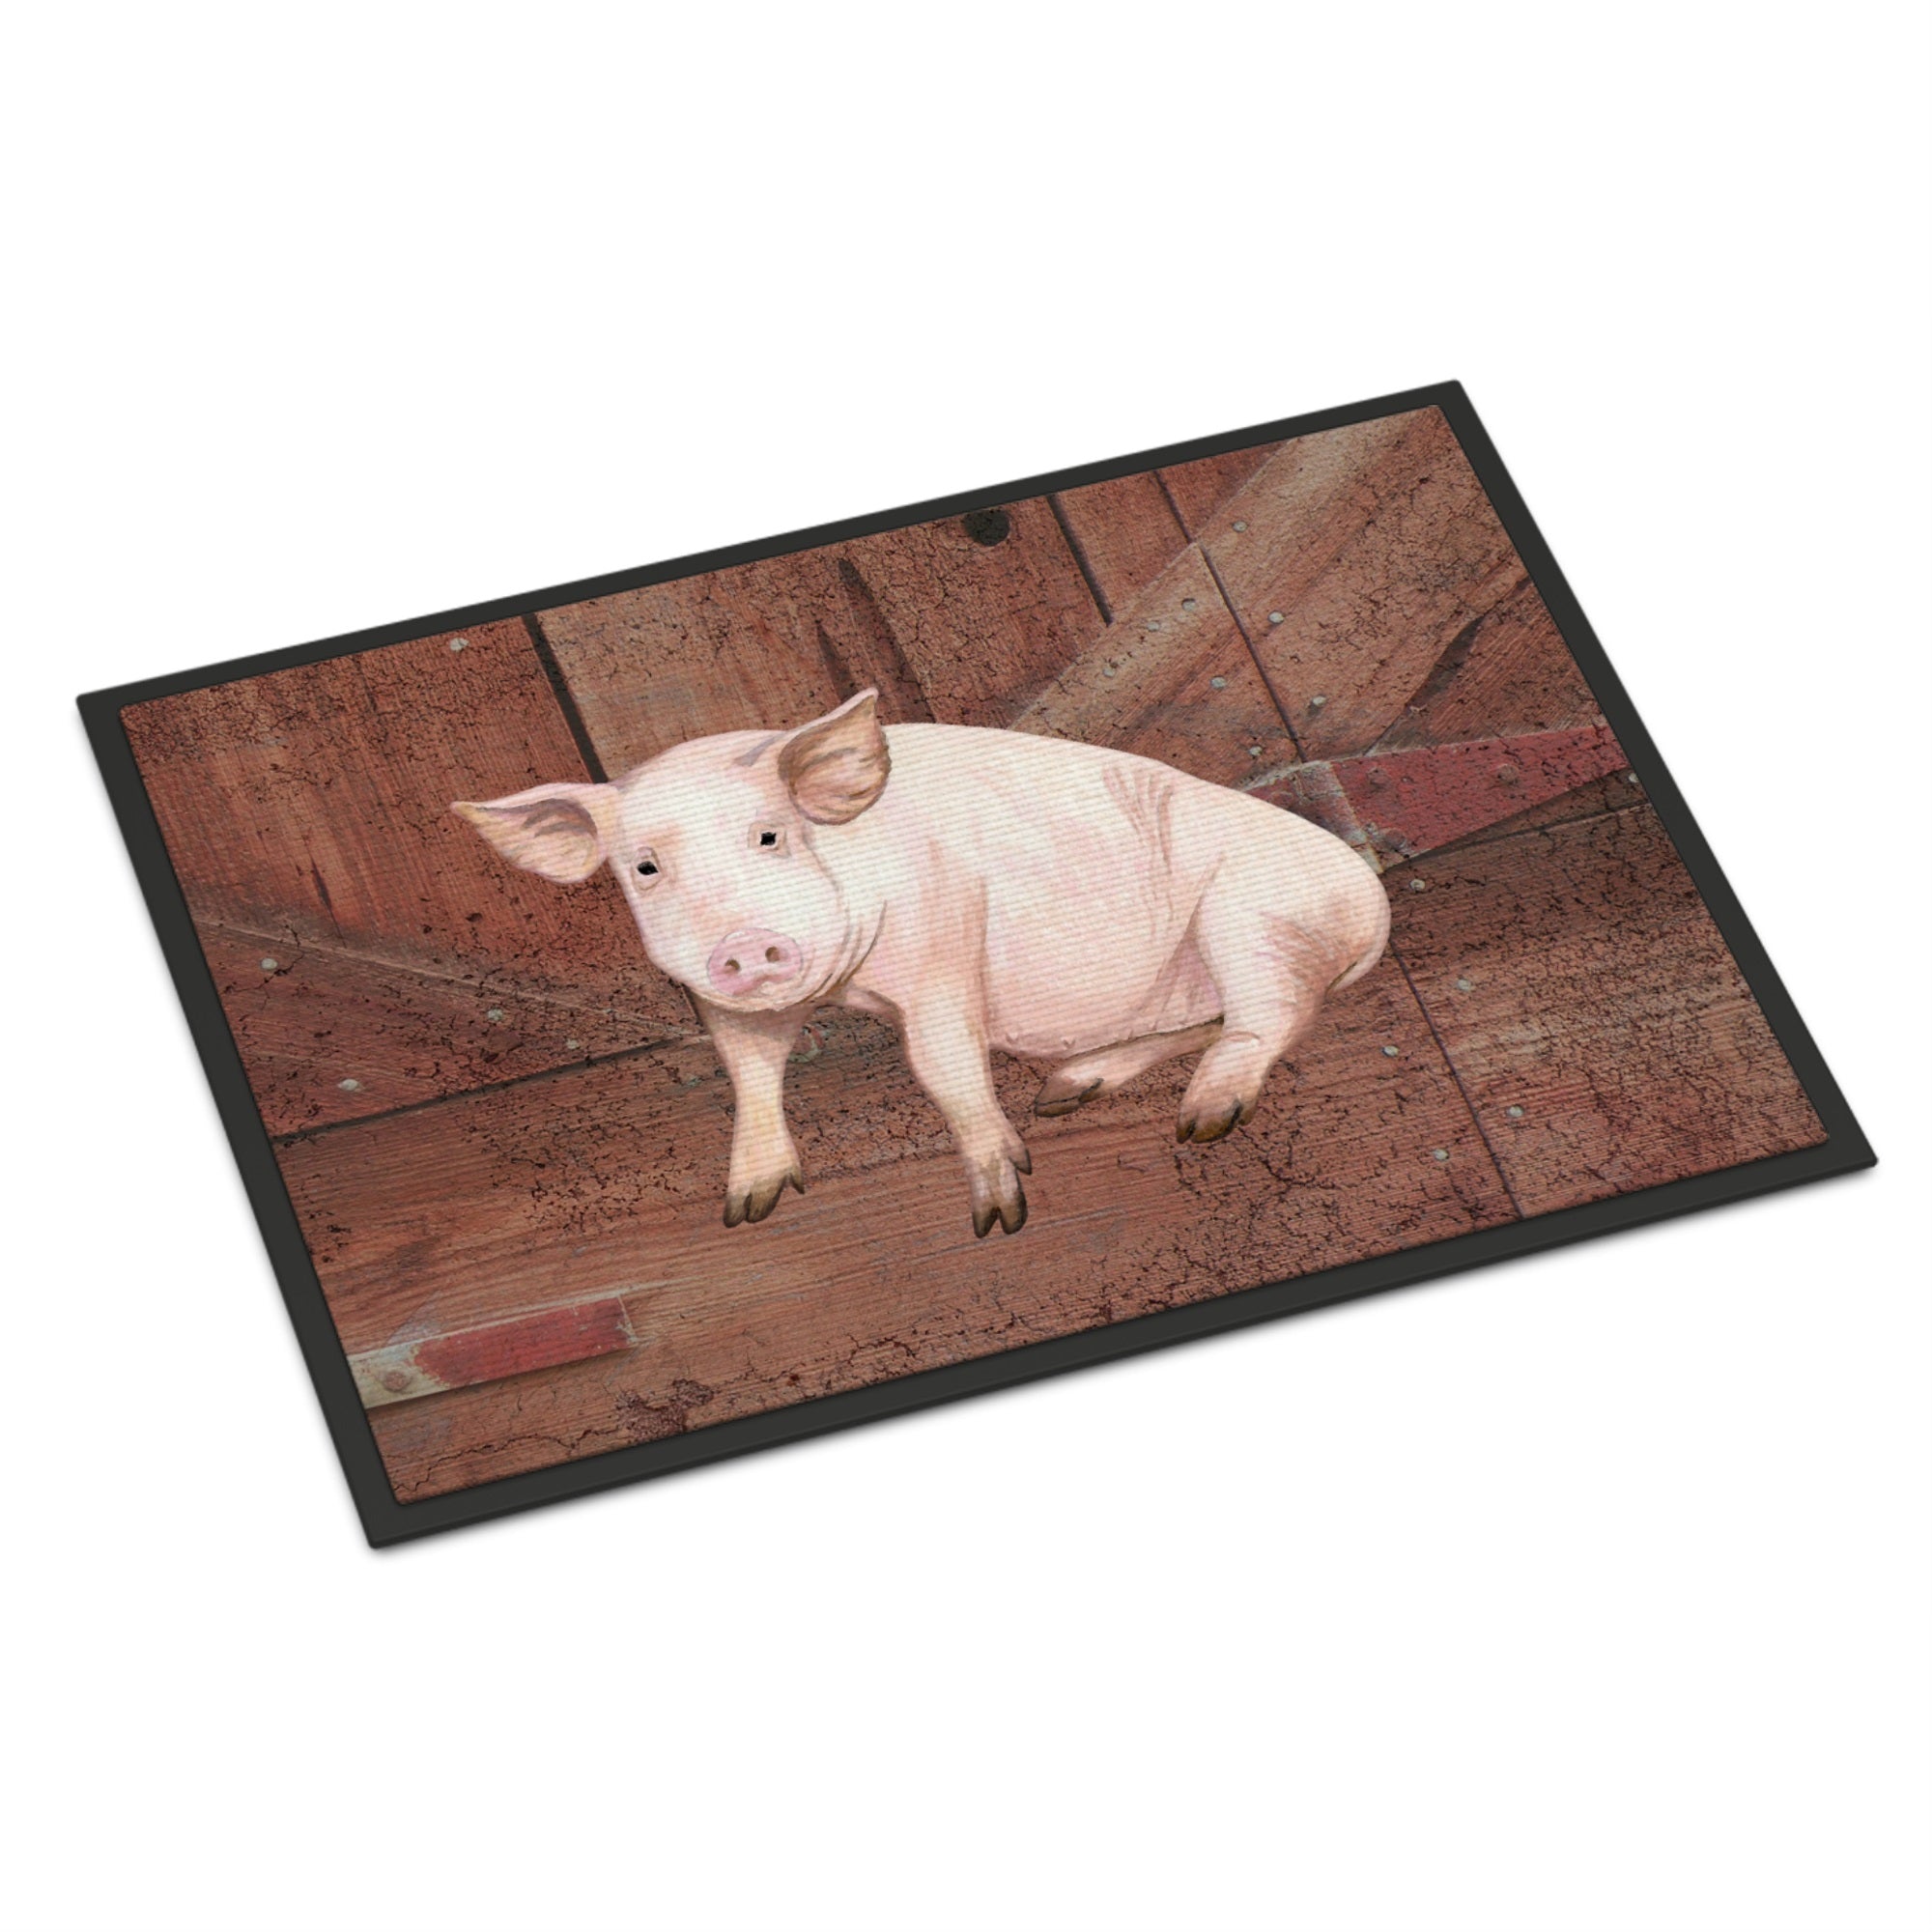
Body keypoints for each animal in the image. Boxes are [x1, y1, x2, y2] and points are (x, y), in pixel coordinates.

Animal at [454, 690, 1389, 1238]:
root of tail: (1370, 898)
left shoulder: (946, 940)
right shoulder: (721, 1001)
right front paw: (746, 1210)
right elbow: (749, 1072)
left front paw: (1002, 1215)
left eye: (771, 836)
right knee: (1212, 1022)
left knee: (1273, 1018)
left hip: (1257, 916)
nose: (742, 943)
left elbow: (942, 1067)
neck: (848, 990)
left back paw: (1200, 1121)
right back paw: (1067, 1091)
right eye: (645, 867)